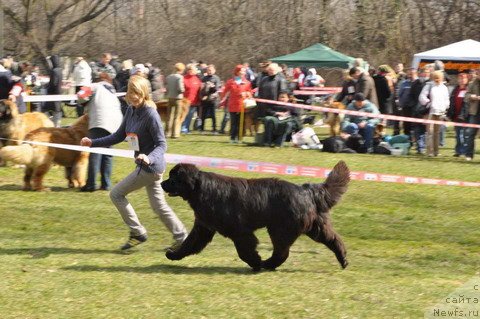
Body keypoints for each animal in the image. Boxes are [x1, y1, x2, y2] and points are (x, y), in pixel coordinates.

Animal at [161, 161, 348, 272]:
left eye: (173, 178)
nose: (162, 183)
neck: (200, 189)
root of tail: (307, 190)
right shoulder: (203, 228)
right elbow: (189, 244)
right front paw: (173, 254)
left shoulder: (239, 231)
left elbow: (245, 251)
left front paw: (256, 263)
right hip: (315, 227)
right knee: (333, 239)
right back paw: (343, 260)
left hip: (281, 229)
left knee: (282, 252)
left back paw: (266, 264)